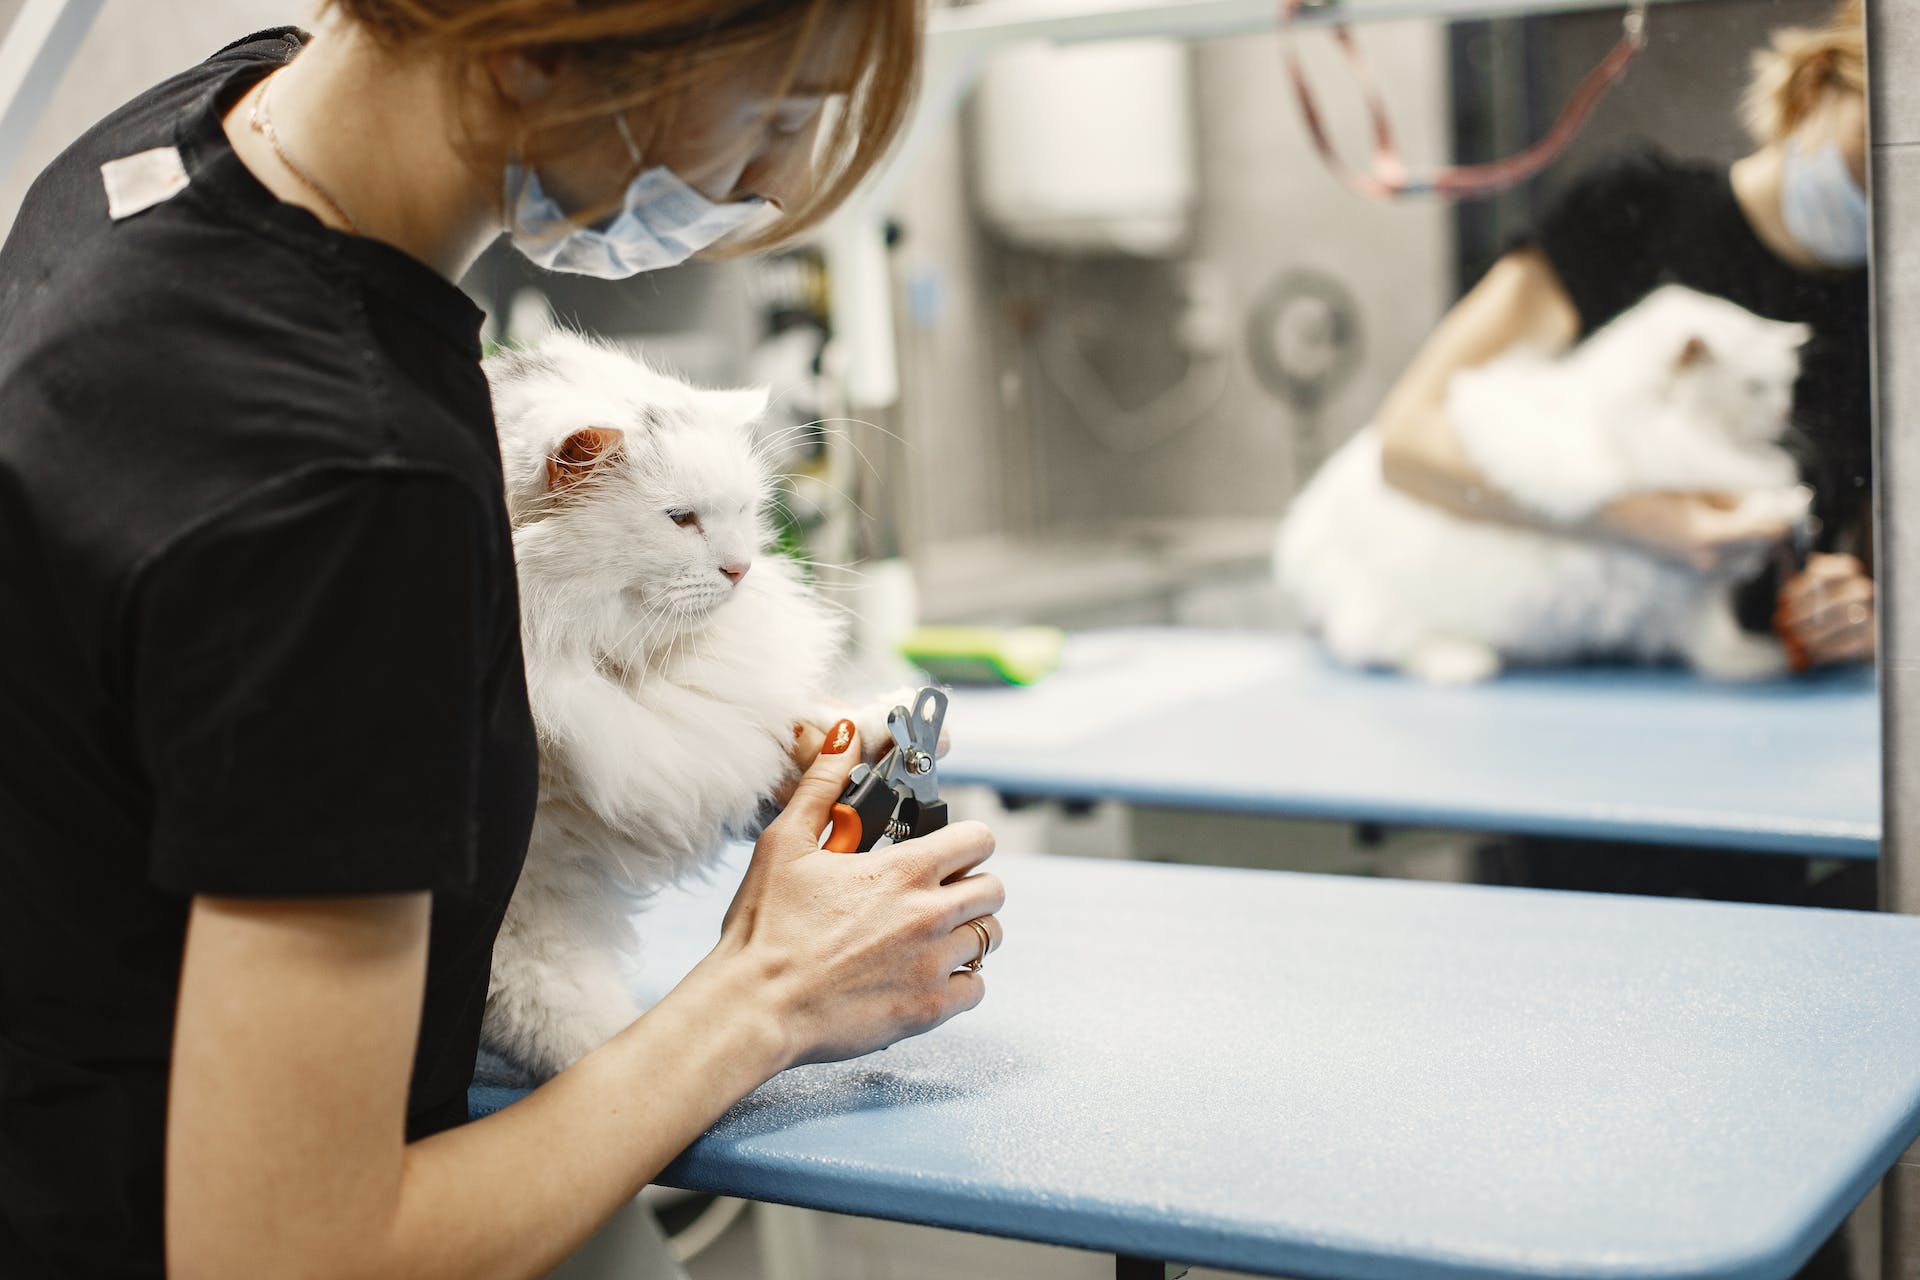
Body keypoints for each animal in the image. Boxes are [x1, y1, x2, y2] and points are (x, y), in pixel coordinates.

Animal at [480, 335, 898, 1074]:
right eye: (681, 519)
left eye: (744, 512)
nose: (742, 569)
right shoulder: (533, 884)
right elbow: (561, 1006)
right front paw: (614, 1059)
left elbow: (805, 729)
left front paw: (883, 724)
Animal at [1274, 287, 1812, 690]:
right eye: (1754, 388)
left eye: (1786, 386)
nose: (1784, 413)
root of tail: (1306, 526)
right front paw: (1779, 506)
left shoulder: (1697, 593)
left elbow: (1714, 638)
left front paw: (1749, 661)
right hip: (1395, 607)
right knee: (1388, 645)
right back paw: (1463, 663)